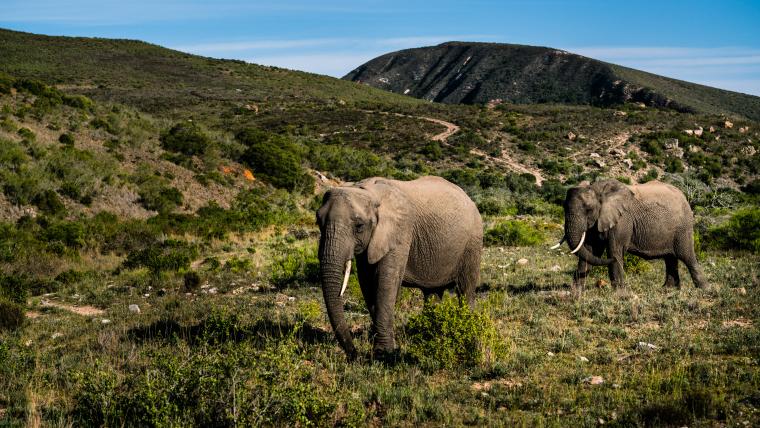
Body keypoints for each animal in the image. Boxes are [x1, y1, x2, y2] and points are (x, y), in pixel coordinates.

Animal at [314, 176, 480, 360]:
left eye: (359, 226)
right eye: (318, 221)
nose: (354, 354)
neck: (368, 191)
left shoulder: (400, 232)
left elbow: (386, 284)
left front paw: (383, 354)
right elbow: (367, 283)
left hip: (472, 243)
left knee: (466, 289)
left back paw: (467, 332)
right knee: (432, 293)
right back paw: (431, 336)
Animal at [556, 179, 708, 292]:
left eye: (588, 209)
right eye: (563, 207)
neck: (598, 189)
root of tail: (684, 196)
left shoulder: (622, 220)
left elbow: (614, 251)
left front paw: (619, 294)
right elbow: (590, 251)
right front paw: (576, 293)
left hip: (683, 227)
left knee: (687, 256)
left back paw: (704, 289)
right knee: (670, 258)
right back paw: (668, 290)